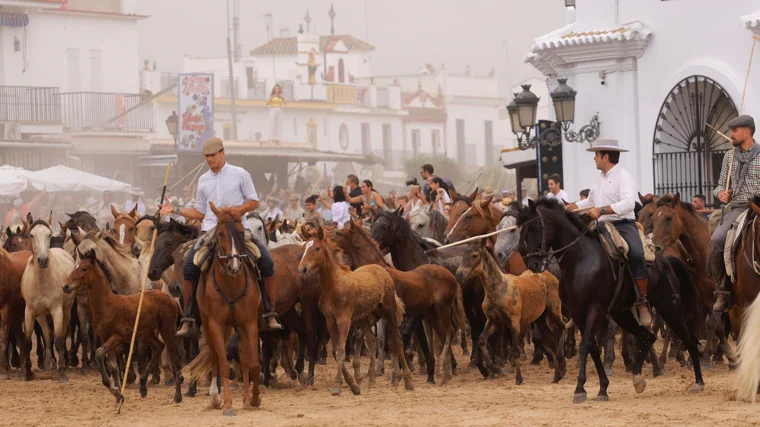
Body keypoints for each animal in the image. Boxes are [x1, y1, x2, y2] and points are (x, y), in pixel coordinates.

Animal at [21, 217, 75, 384]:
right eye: (31, 235)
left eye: (49, 234)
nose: (43, 260)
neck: (41, 281)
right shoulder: (29, 311)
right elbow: (27, 341)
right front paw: (28, 374)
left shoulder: (57, 309)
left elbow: (58, 339)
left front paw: (63, 374)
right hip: (42, 315)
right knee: (47, 335)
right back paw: (48, 363)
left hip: (67, 310)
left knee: (62, 335)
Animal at [61, 249, 182, 402]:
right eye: (74, 267)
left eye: (84, 268)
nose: (65, 286)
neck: (107, 304)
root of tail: (170, 298)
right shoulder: (105, 337)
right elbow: (113, 365)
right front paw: (119, 395)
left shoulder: (118, 336)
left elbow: (99, 353)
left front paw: (115, 389)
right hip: (146, 333)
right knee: (158, 347)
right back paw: (143, 387)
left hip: (167, 329)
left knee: (174, 357)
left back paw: (177, 395)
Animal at [197, 202, 260, 416]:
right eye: (221, 233)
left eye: (241, 232)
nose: (234, 266)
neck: (231, 284)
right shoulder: (215, 323)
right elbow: (223, 364)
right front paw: (228, 404)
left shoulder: (250, 323)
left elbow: (252, 363)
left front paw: (254, 398)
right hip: (207, 324)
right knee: (215, 357)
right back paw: (216, 398)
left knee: (244, 359)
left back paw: (246, 398)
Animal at [298, 227, 416, 398]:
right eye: (304, 248)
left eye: (317, 248)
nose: (302, 269)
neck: (333, 286)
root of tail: (381, 269)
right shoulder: (330, 321)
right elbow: (335, 351)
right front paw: (354, 386)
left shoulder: (344, 320)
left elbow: (340, 350)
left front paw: (337, 386)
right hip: (367, 316)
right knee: (371, 339)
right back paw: (372, 380)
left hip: (389, 312)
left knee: (397, 341)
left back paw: (407, 381)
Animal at [332, 221, 470, 384]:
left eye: (338, 233)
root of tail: (452, 276)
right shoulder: (378, 315)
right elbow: (366, 336)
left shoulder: (392, 314)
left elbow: (393, 342)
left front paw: (396, 375)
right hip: (431, 313)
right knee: (444, 333)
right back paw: (446, 372)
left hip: (442, 308)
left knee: (449, 330)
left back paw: (442, 367)